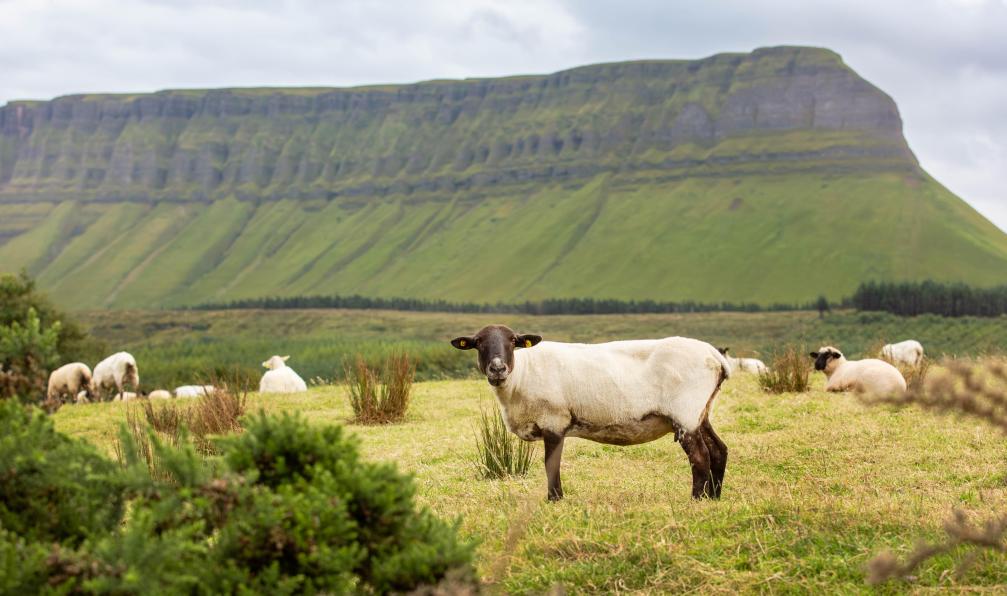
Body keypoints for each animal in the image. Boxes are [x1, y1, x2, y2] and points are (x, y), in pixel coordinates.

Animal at [451, 325, 731, 501]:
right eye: (478, 343)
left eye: (512, 341)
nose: (497, 368)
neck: (521, 375)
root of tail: (715, 355)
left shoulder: (554, 421)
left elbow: (551, 465)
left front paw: (555, 500)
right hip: (701, 411)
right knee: (719, 450)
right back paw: (713, 498)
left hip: (685, 412)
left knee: (700, 456)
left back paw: (696, 500)